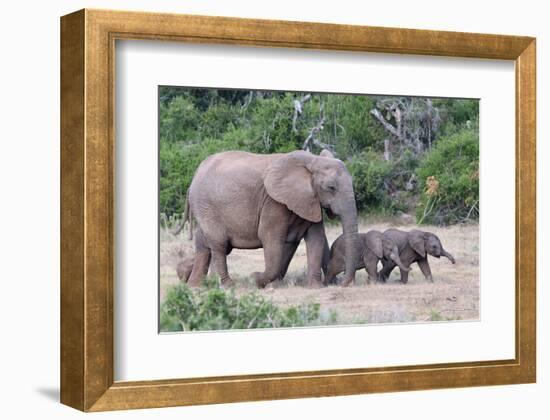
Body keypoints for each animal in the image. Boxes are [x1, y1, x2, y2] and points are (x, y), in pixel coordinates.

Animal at [183, 150, 360, 288]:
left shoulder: (309, 201)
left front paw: (314, 287)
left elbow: (316, 238)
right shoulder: (273, 202)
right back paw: (228, 285)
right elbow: (270, 238)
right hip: (207, 206)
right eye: (331, 187)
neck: (312, 160)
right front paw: (255, 278)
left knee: (203, 244)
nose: (343, 283)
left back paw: (195, 286)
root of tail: (194, 177)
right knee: (219, 245)